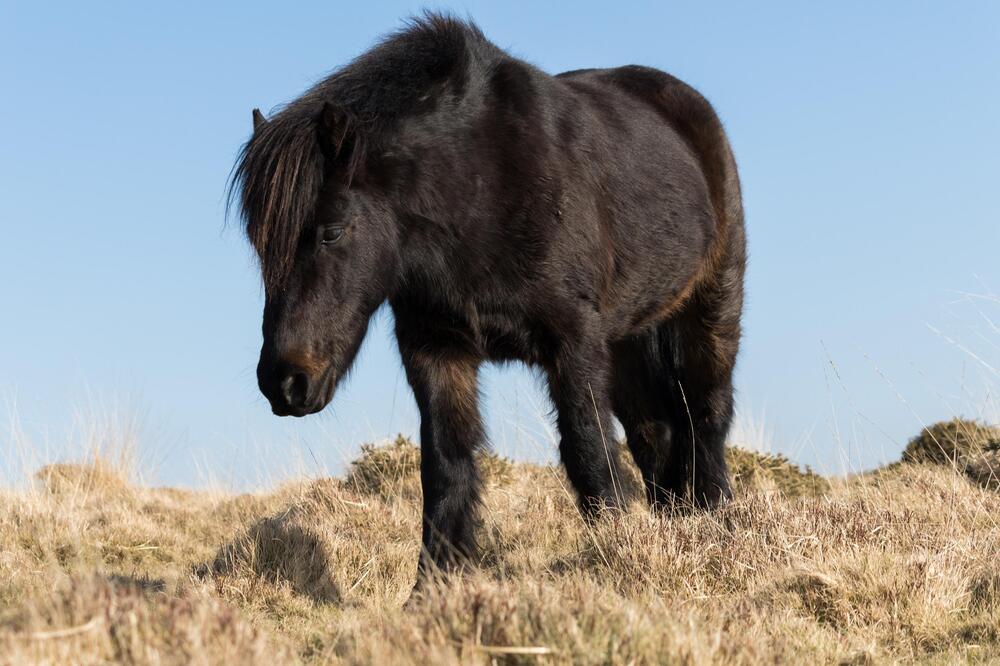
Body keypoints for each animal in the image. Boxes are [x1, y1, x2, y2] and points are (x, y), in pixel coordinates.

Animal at [230, 13, 748, 580]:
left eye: (331, 231)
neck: (479, 188)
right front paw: (433, 588)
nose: (283, 382)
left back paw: (719, 523)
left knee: (707, 417)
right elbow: (447, 469)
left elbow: (588, 450)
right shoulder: (437, 350)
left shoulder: (575, 342)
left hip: (710, 311)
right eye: (260, 246)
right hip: (629, 339)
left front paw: (616, 560)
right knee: (656, 434)